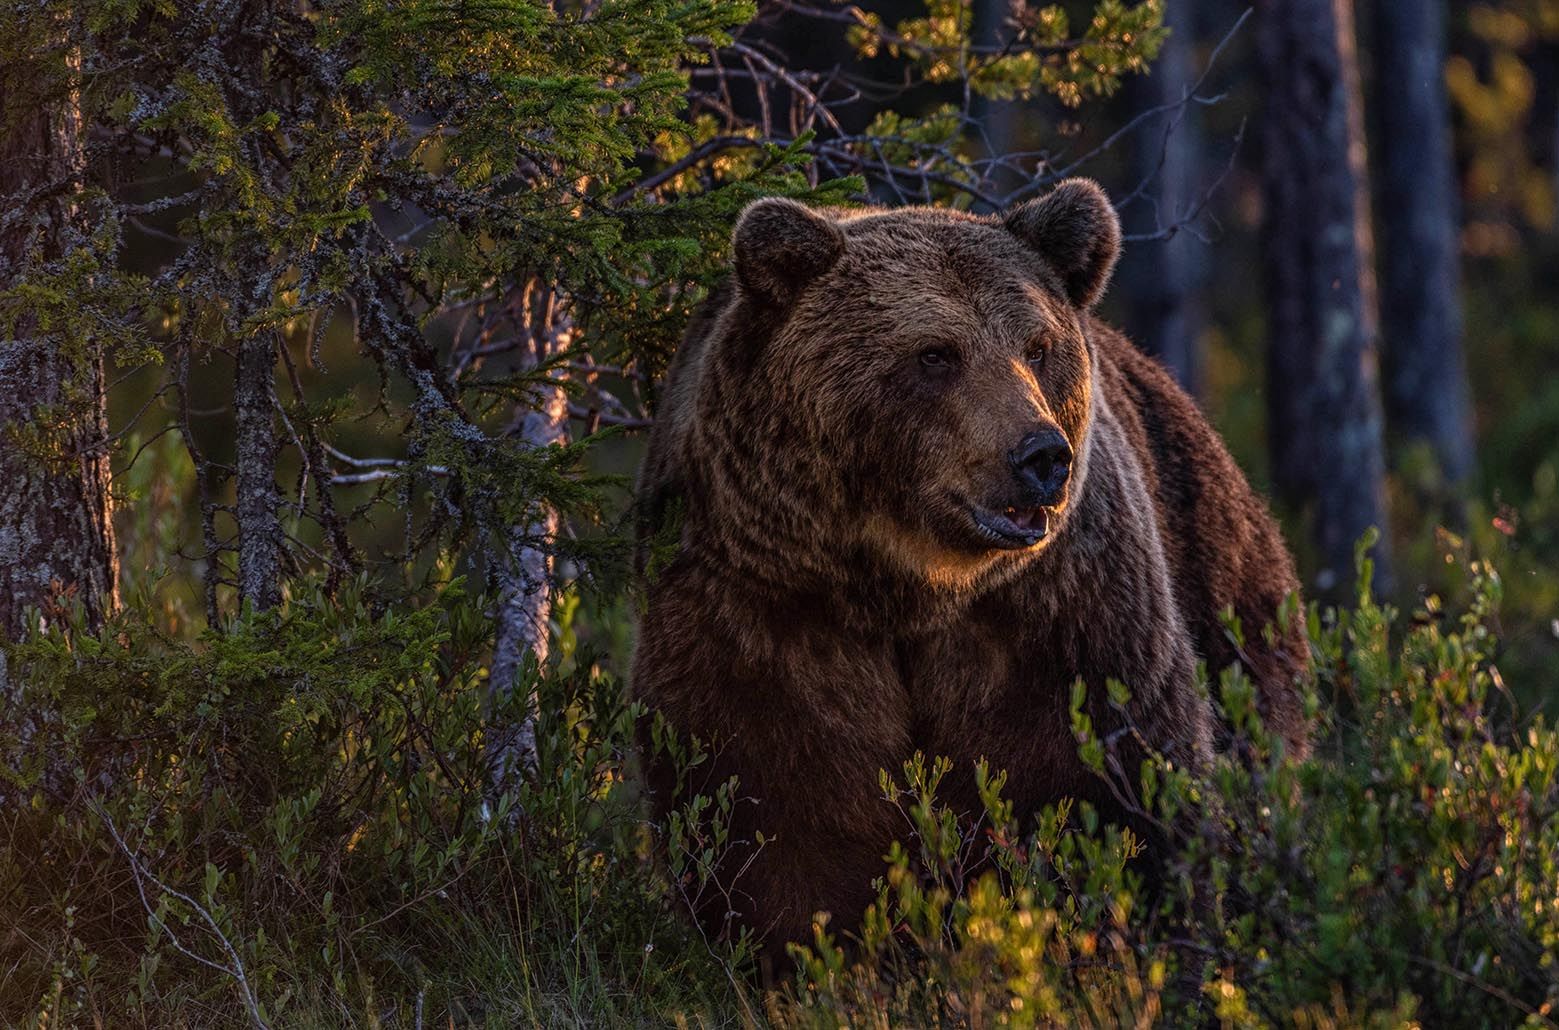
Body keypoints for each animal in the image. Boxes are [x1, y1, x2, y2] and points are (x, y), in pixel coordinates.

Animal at [631, 179, 1310, 960]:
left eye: (1037, 346)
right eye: (934, 354)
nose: (1041, 455)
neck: (908, 589)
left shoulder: (1062, 621)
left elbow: (1119, 794)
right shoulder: (759, 609)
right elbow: (774, 825)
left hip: (1229, 603)